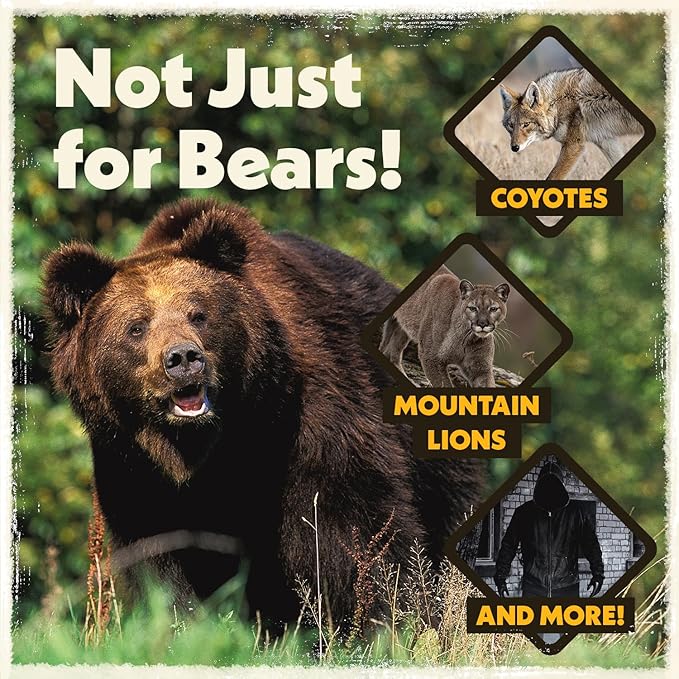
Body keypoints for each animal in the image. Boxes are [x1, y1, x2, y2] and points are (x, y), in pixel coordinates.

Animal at [42, 198, 483, 627]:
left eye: (198, 314)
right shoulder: (131, 466)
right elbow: (160, 558)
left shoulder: (312, 424)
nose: (183, 358)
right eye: (136, 327)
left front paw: (384, 617)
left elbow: (354, 526)